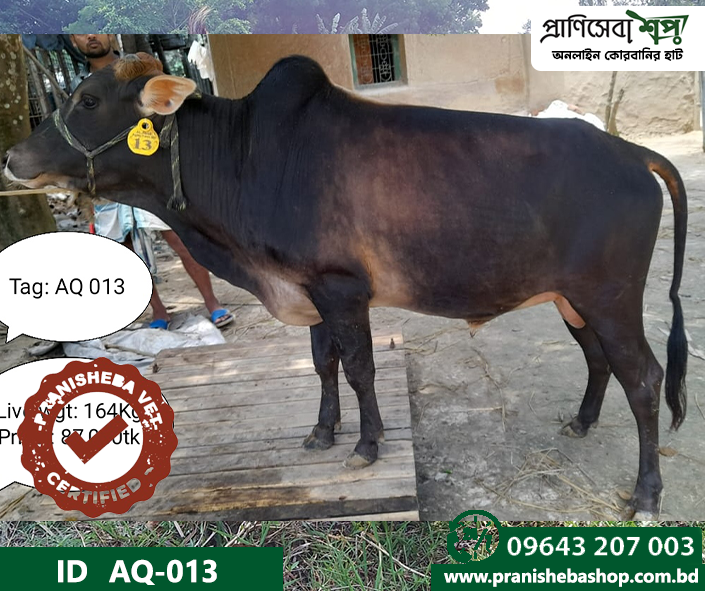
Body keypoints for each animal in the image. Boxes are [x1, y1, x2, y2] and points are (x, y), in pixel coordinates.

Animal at [3, 53, 688, 519]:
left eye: (89, 100)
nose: (13, 158)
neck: (245, 159)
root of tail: (630, 151)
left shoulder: (340, 289)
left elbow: (359, 367)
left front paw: (365, 443)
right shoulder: (307, 290)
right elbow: (323, 364)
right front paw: (322, 432)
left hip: (612, 299)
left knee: (645, 380)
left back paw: (647, 495)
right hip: (574, 302)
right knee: (599, 361)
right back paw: (581, 423)